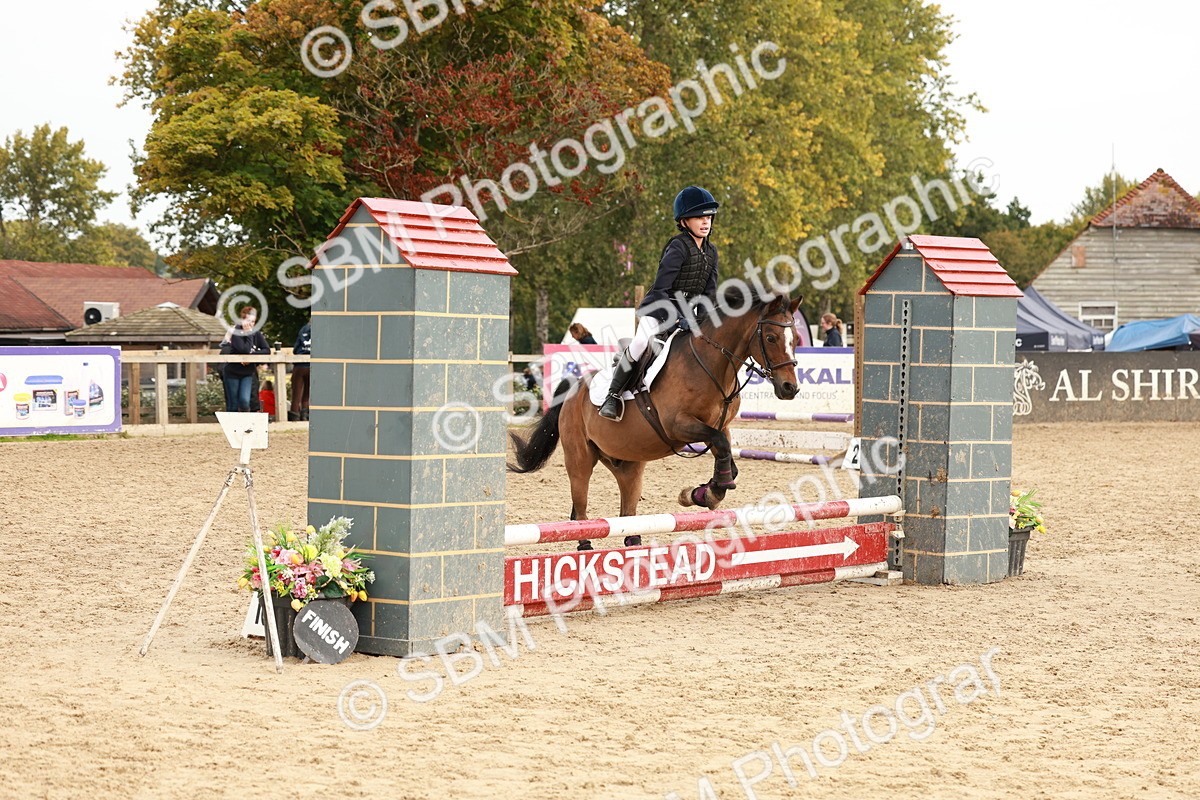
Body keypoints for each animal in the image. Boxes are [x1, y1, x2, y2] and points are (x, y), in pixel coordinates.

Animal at [508, 289, 802, 549]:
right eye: (771, 337)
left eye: (796, 339)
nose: (790, 388)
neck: (710, 364)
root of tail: (574, 387)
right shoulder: (678, 425)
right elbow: (721, 446)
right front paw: (708, 493)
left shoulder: (720, 426)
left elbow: (728, 456)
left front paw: (700, 493)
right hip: (580, 458)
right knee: (580, 504)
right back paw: (585, 545)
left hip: (627, 463)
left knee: (627, 508)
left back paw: (634, 542)